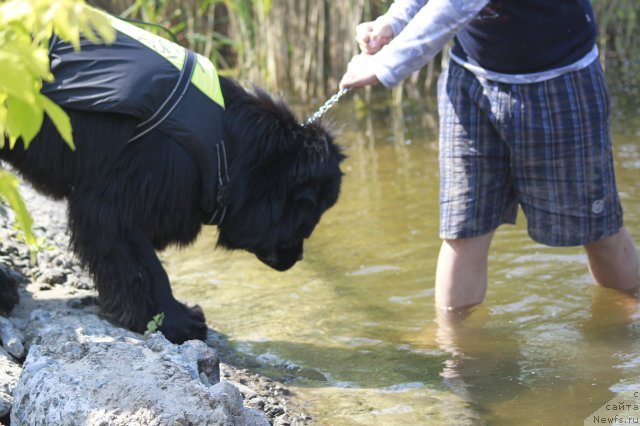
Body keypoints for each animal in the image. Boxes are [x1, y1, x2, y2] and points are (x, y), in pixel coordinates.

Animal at [0, 23, 344, 344]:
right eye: (311, 213)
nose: (299, 257)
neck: (226, 143)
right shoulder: (115, 204)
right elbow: (146, 268)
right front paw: (174, 321)